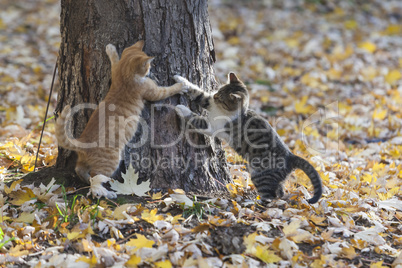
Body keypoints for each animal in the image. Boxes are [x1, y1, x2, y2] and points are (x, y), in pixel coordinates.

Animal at [55, 40, 185, 198]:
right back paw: (105, 192)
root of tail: (81, 141)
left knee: (80, 170)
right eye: (148, 66)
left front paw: (111, 49)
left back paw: (86, 180)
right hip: (111, 161)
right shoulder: (154, 92)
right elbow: (167, 90)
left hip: (84, 161)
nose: (150, 70)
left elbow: (114, 60)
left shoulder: (115, 70)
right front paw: (182, 85)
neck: (124, 75)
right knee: (95, 178)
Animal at [174, 73, 322, 203]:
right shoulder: (209, 102)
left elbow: (196, 119)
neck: (223, 111)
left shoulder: (212, 126)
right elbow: (199, 93)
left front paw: (181, 108)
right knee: (280, 192)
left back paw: (255, 204)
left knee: (270, 195)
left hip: (260, 175)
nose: (215, 95)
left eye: (221, 98)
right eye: (219, 90)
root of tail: (290, 156)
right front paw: (181, 81)